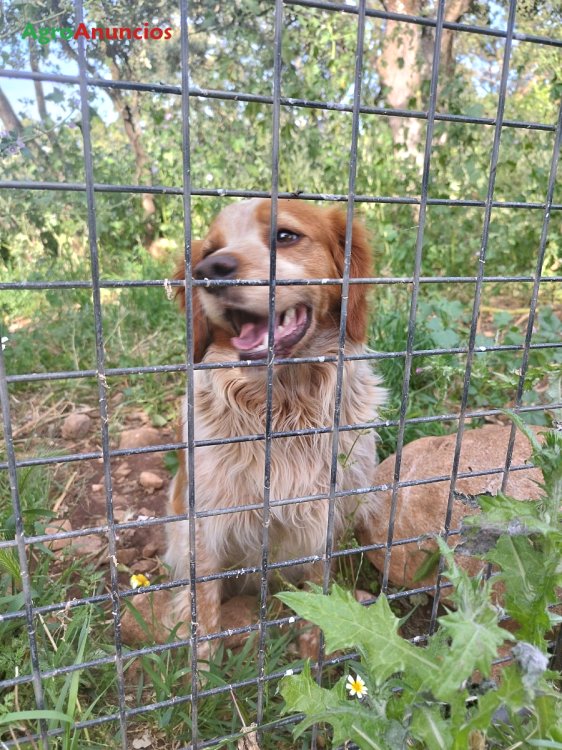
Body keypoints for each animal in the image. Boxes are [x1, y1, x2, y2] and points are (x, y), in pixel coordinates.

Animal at [165, 198, 385, 662]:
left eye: (285, 235)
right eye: (209, 250)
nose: (210, 270)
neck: (285, 404)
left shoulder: (327, 516)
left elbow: (318, 587)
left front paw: (313, 646)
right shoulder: (205, 522)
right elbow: (203, 608)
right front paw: (202, 669)